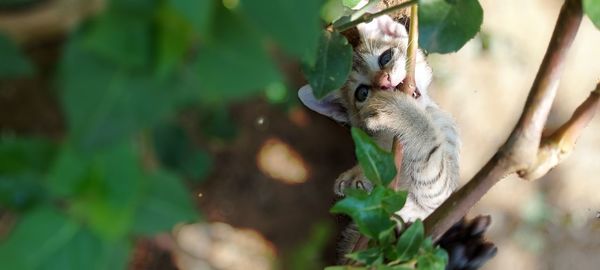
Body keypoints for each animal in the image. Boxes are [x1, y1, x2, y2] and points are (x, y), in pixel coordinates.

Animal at [298, 13, 460, 223]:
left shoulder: (438, 196)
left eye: (385, 57)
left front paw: (395, 108)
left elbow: (426, 138)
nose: (385, 82)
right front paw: (358, 175)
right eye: (362, 93)